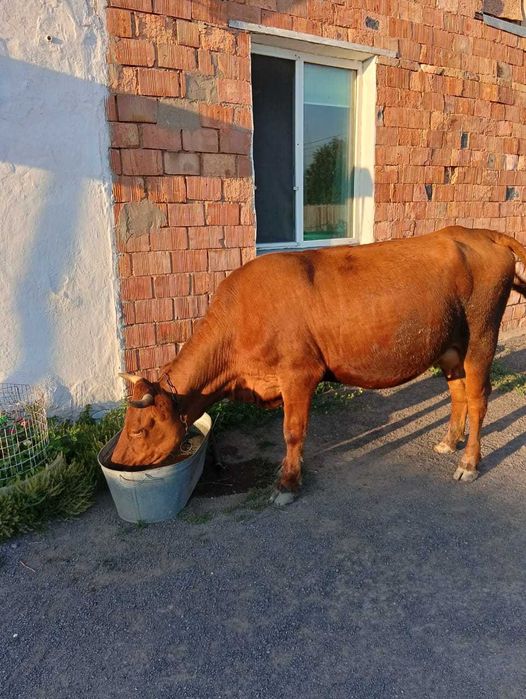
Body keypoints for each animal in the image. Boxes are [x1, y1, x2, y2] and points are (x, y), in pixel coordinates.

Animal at [112, 226, 526, 505]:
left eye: (138, 429)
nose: (116, 461)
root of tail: (477, 232)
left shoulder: (298, 374)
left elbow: (293, 432)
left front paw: (287, 484)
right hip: (449, 348)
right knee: (458, 393)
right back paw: (448, 442)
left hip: (481, 337)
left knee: (478, 398)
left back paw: (469, 463)